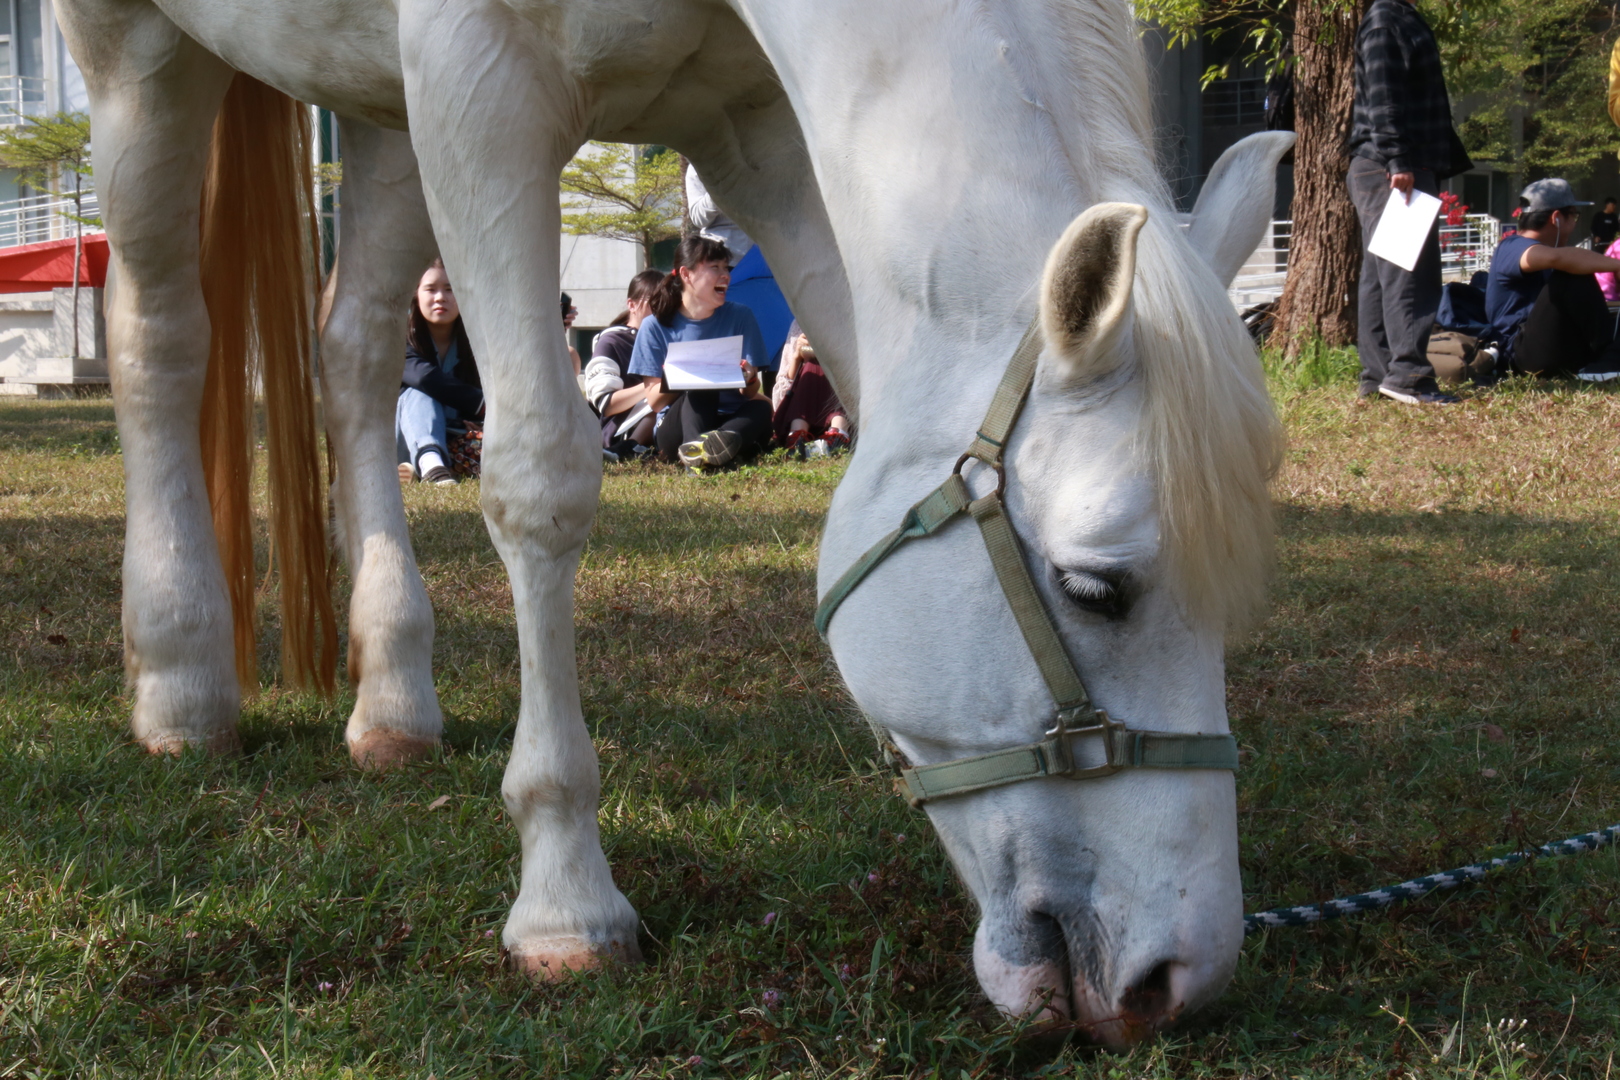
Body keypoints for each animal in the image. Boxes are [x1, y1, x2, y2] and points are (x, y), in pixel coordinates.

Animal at [58, 0, 1292, 1045]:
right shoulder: (480, 82)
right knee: (159, 336)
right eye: (1095, 589)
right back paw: (180, 683)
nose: (1174, 979)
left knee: (352, 352)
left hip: (377, 107)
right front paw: (563, 897)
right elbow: (540, 480)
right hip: (137, 56)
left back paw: (392, 699)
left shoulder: (753, 129)